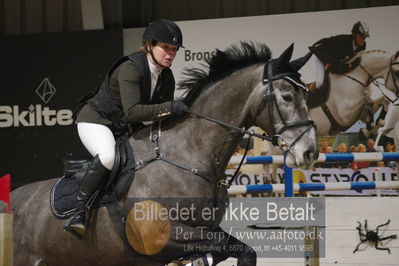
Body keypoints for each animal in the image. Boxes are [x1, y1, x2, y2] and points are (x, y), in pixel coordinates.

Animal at [10, 42, 318, 264]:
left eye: (306, 95)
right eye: (287, 96)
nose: (310, 152)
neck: (190, 156)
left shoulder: (207, 229)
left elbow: (244, 252)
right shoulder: (157, 237)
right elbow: (214, 247)